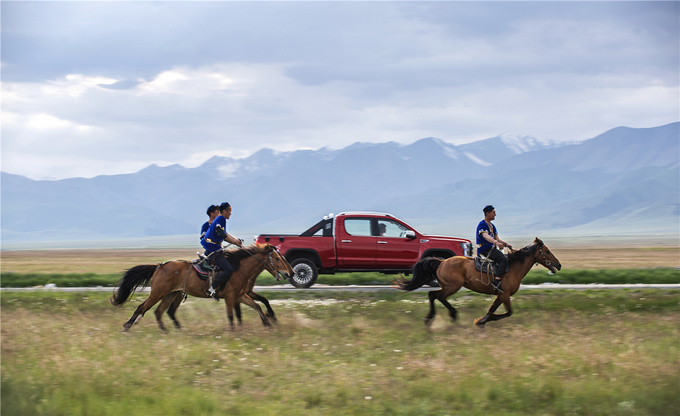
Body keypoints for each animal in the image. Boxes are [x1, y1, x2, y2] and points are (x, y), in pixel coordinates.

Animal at [110, 244, 294, 332]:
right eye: (277, 258)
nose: (290, 273)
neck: (238, 268)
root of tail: (159, 266)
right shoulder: (231, 296)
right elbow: (232, 315)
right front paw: (234, 331)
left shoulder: (241, 295)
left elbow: (257, 305)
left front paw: (268, 323)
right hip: (158, 293)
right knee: (142, 308)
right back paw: (126, 327)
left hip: (171, 294)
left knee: (159, 312)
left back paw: (169, 331)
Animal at [396, 239, 560, 326]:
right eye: (546, 251)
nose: (558, 265)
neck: (513, 267)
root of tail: (441, 262)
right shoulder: (505, 294)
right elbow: (508, 312)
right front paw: (482, 320)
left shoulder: (500, 295)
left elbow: (492, 309)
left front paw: (482, 320)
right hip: (452, 286)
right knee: (438, 296)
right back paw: (450, 315)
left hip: (447, 286)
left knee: (433, 295)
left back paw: (431, 317)